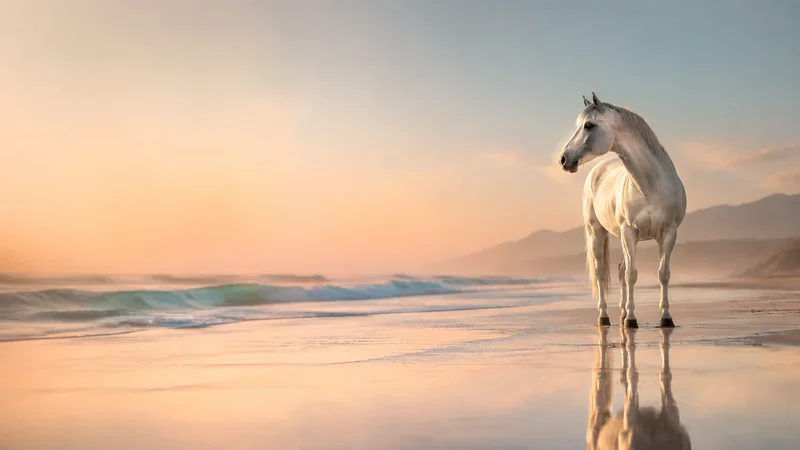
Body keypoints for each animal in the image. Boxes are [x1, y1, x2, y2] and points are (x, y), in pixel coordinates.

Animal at [558, 93, 687, 328]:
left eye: (588, 125)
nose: (564, 159)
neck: (650, 185)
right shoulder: (629, 231)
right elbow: (631, 274)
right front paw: (631, 319)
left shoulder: (669, 232)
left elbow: (663, 274)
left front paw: (666, 317)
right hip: (597, 233)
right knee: (601, 272)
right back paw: (605, 316)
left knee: (619, 269)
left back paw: (622, 313)